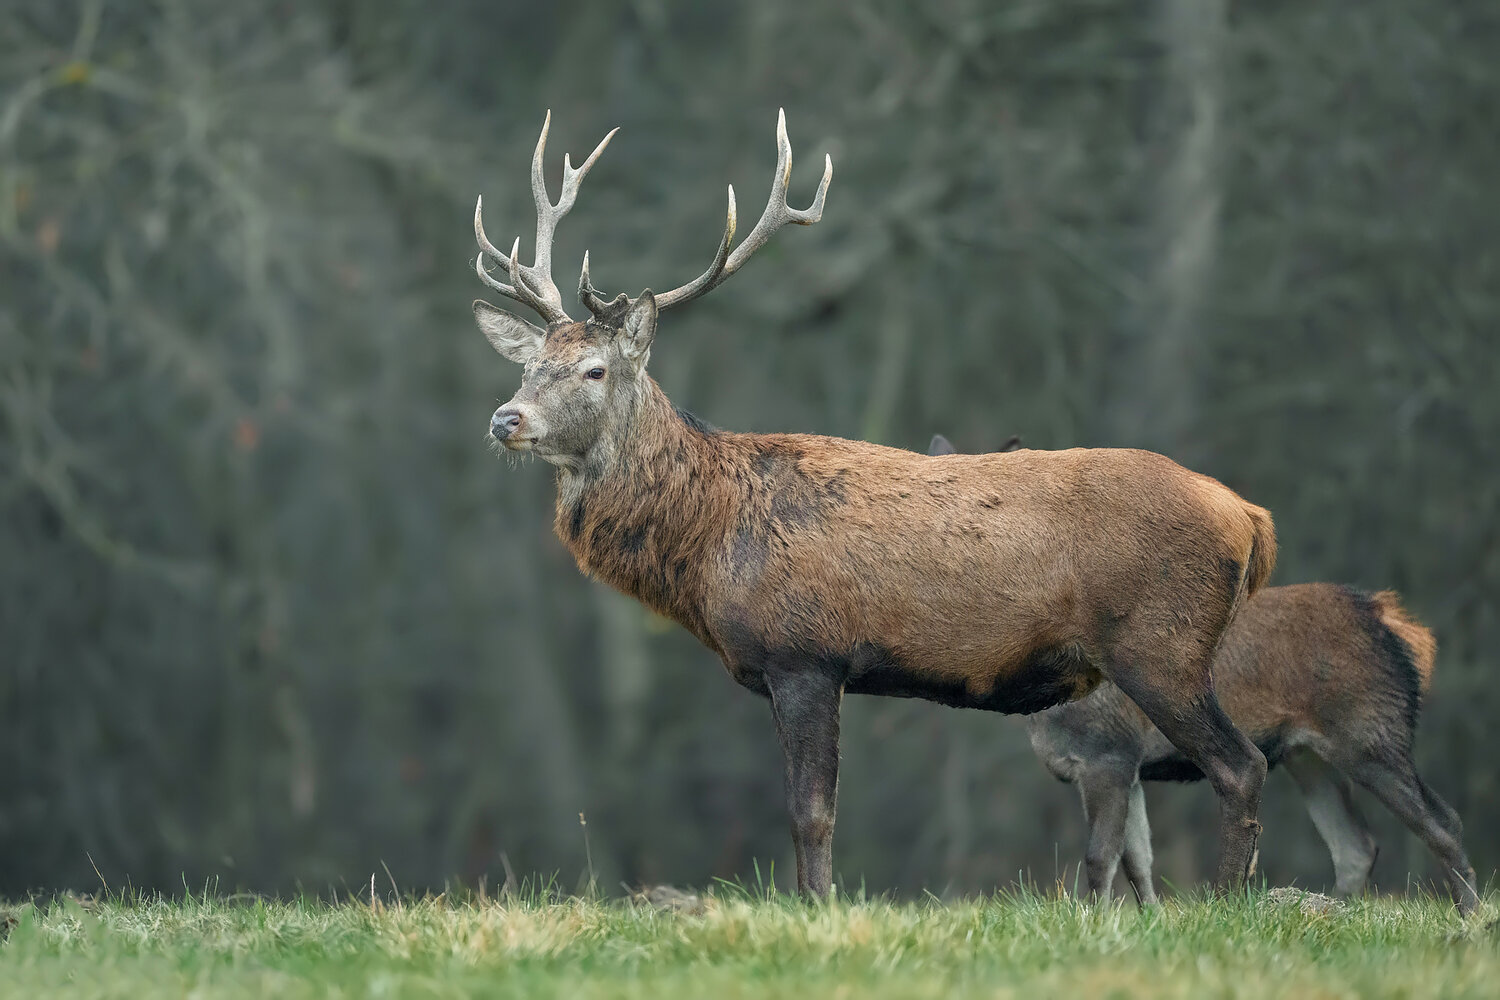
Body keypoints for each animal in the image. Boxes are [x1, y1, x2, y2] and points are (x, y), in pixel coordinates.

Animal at [469, 110, 1278, 899]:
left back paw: (1227, 903)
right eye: (530, 364)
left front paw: (821, 909)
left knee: (1242, 766)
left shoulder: (806, 653)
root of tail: (1250, 519)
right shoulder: (786, 670)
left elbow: (811, 813)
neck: (712, 544)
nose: (506, 419)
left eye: (594, 369)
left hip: (1162, 646)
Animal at [930, 433, 1479, 914]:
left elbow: (1101, 857)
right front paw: (1150, 921)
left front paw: (1092, 920)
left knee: (1442, 820)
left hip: (1370, 730)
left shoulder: (1110, 752)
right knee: (1356, 846)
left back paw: (1468, 915)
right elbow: (1139, 861)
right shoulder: (1130, 767)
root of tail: (1398, 627)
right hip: (1308, 755)